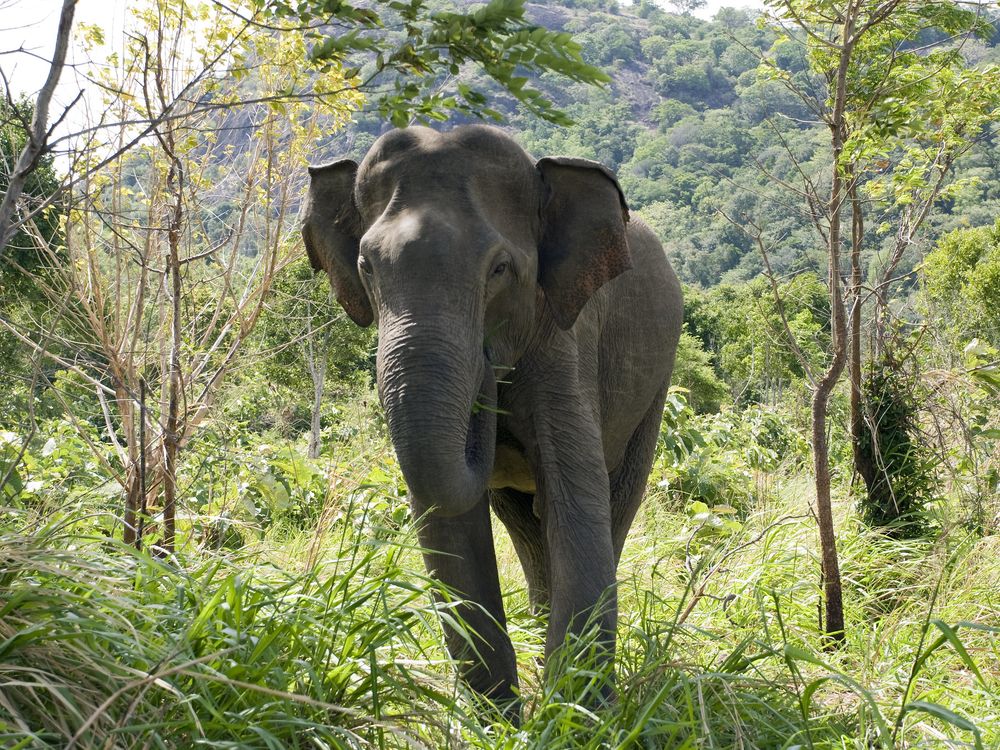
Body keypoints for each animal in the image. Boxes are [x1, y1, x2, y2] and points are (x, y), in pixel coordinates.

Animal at [300, 125, 684, 716]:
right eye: (367, 267)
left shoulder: (565, 340)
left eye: (500, 269)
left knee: (615, 501)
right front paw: (499, 719)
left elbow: (576, 499)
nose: (486, 373)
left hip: (656, 384)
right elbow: (448, 521)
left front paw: (577, 717)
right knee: (524, 522)